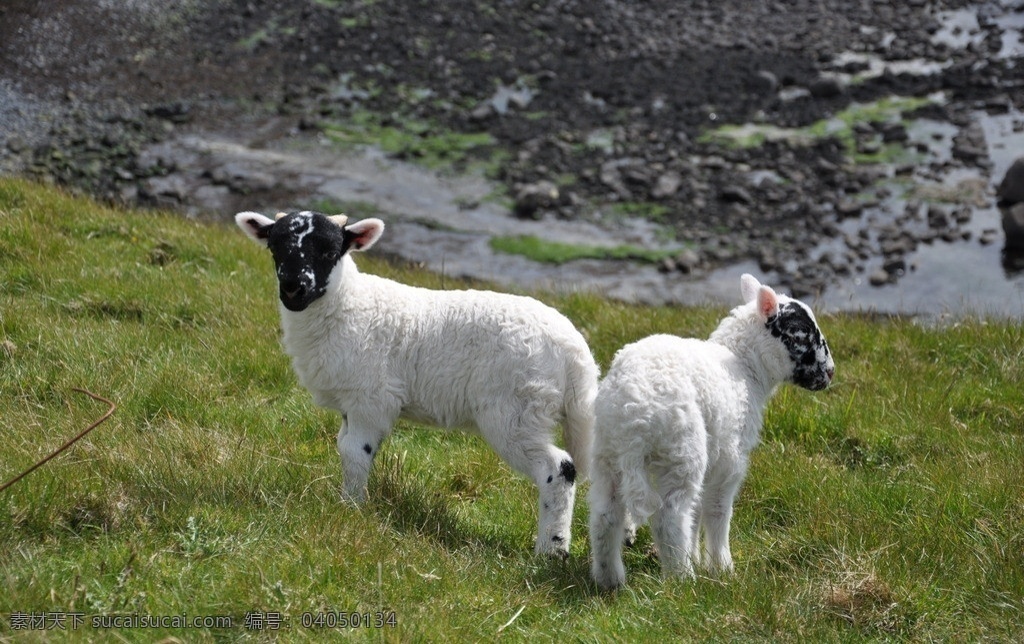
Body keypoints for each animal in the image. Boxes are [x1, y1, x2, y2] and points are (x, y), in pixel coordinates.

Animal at [234, 213, 598, 556]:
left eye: (328, 250)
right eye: (275, 247)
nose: (293, 288)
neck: (347, 304)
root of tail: (575, 351)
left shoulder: (371, 399)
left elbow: (355, 451)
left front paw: (351, 508)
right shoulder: (352, 402)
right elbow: (343, 446)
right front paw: (348, 503)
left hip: (516, 410)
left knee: (559, 468)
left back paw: (551, 550)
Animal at [589, 270, 835, 589]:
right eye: (800, 335)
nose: (830, 372)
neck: (745, 365)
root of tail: (632, 413)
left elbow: (696, 516)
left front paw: (697, 555)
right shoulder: (730, 457)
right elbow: (717, 510)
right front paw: (721, 567)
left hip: (607, 454)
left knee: (605, 515)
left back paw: (610, 580)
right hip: (682, 449)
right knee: (670, 518)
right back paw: (683, 580)